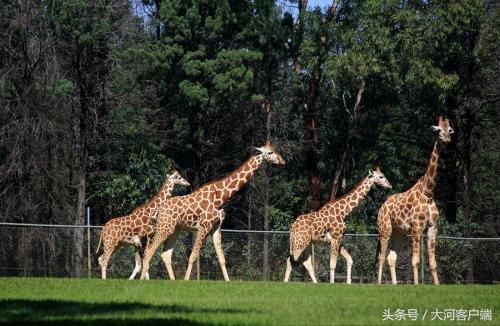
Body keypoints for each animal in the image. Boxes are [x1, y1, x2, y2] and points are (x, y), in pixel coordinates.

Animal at [139, 141, 286, 282]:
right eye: (270, 152)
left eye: (275, 150)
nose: (282, 161)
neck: (221, 196)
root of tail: (158, 210)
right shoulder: (204, 226)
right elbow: (193, 256)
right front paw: (186, 281)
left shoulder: (216, 227)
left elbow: (222, 258)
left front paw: (228, 281)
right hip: (164, 227)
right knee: (149, 251)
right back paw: (141, 280)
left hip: (175, 229)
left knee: (165, 254)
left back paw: (172, 281)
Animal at [376, 116, 456, 284]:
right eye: (438, 129)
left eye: (450, 129)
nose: (447, 138)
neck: (429, 193)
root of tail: (382, 206)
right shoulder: (416, 227)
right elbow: (416, 261)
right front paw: (416, 285)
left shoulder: (433, 228)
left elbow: (432, 262)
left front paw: (437, 285)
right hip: (385, 229)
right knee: (381, 256)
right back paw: (378, 284)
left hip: (398, 232)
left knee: (391, 257)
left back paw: (394, 285)